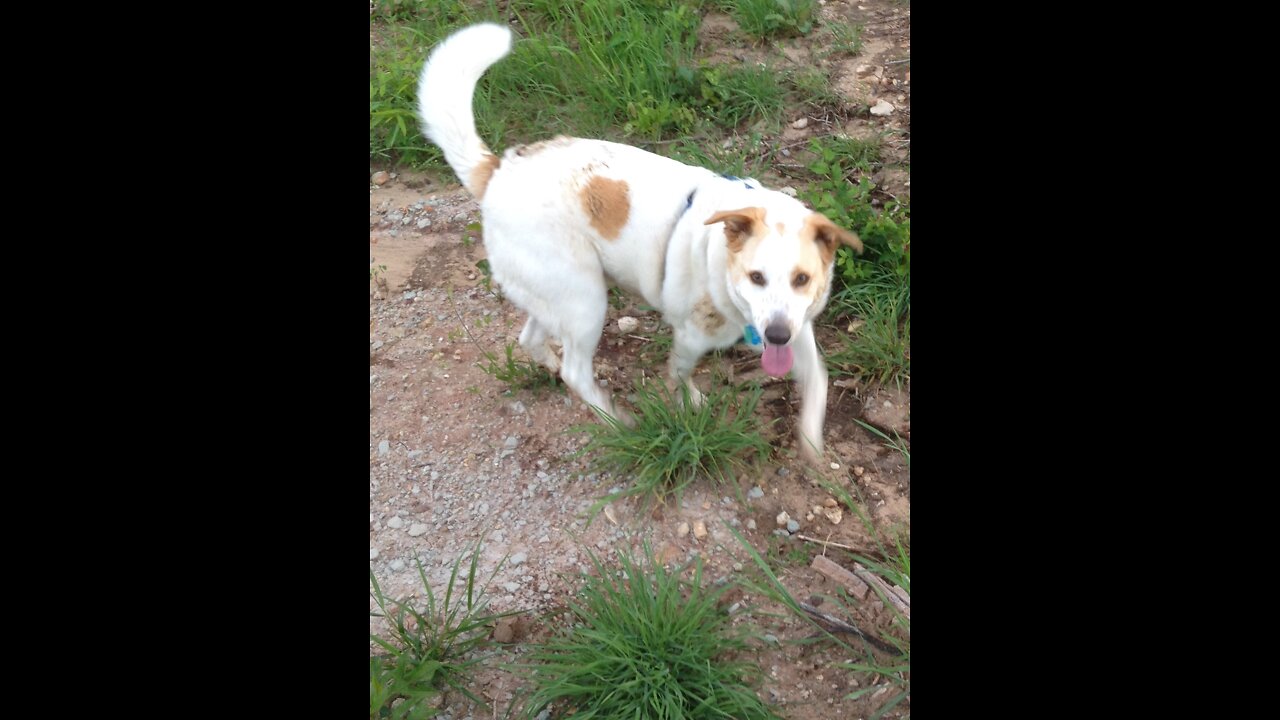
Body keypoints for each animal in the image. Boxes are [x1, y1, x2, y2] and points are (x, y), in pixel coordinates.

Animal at [419, 23, 860, 466]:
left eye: (802, 279)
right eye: (756, 277)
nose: (776, 336)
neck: (720, 256)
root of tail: (498, 170)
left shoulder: (799, 327)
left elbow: (819, 379)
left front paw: (812, 442)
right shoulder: (692, 336)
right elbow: (680, 375)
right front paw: (689, 404)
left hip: (557, 292)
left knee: (531, 339)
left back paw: (552, 367)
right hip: (585, 300)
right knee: (577, 371)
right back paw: (615, 420)